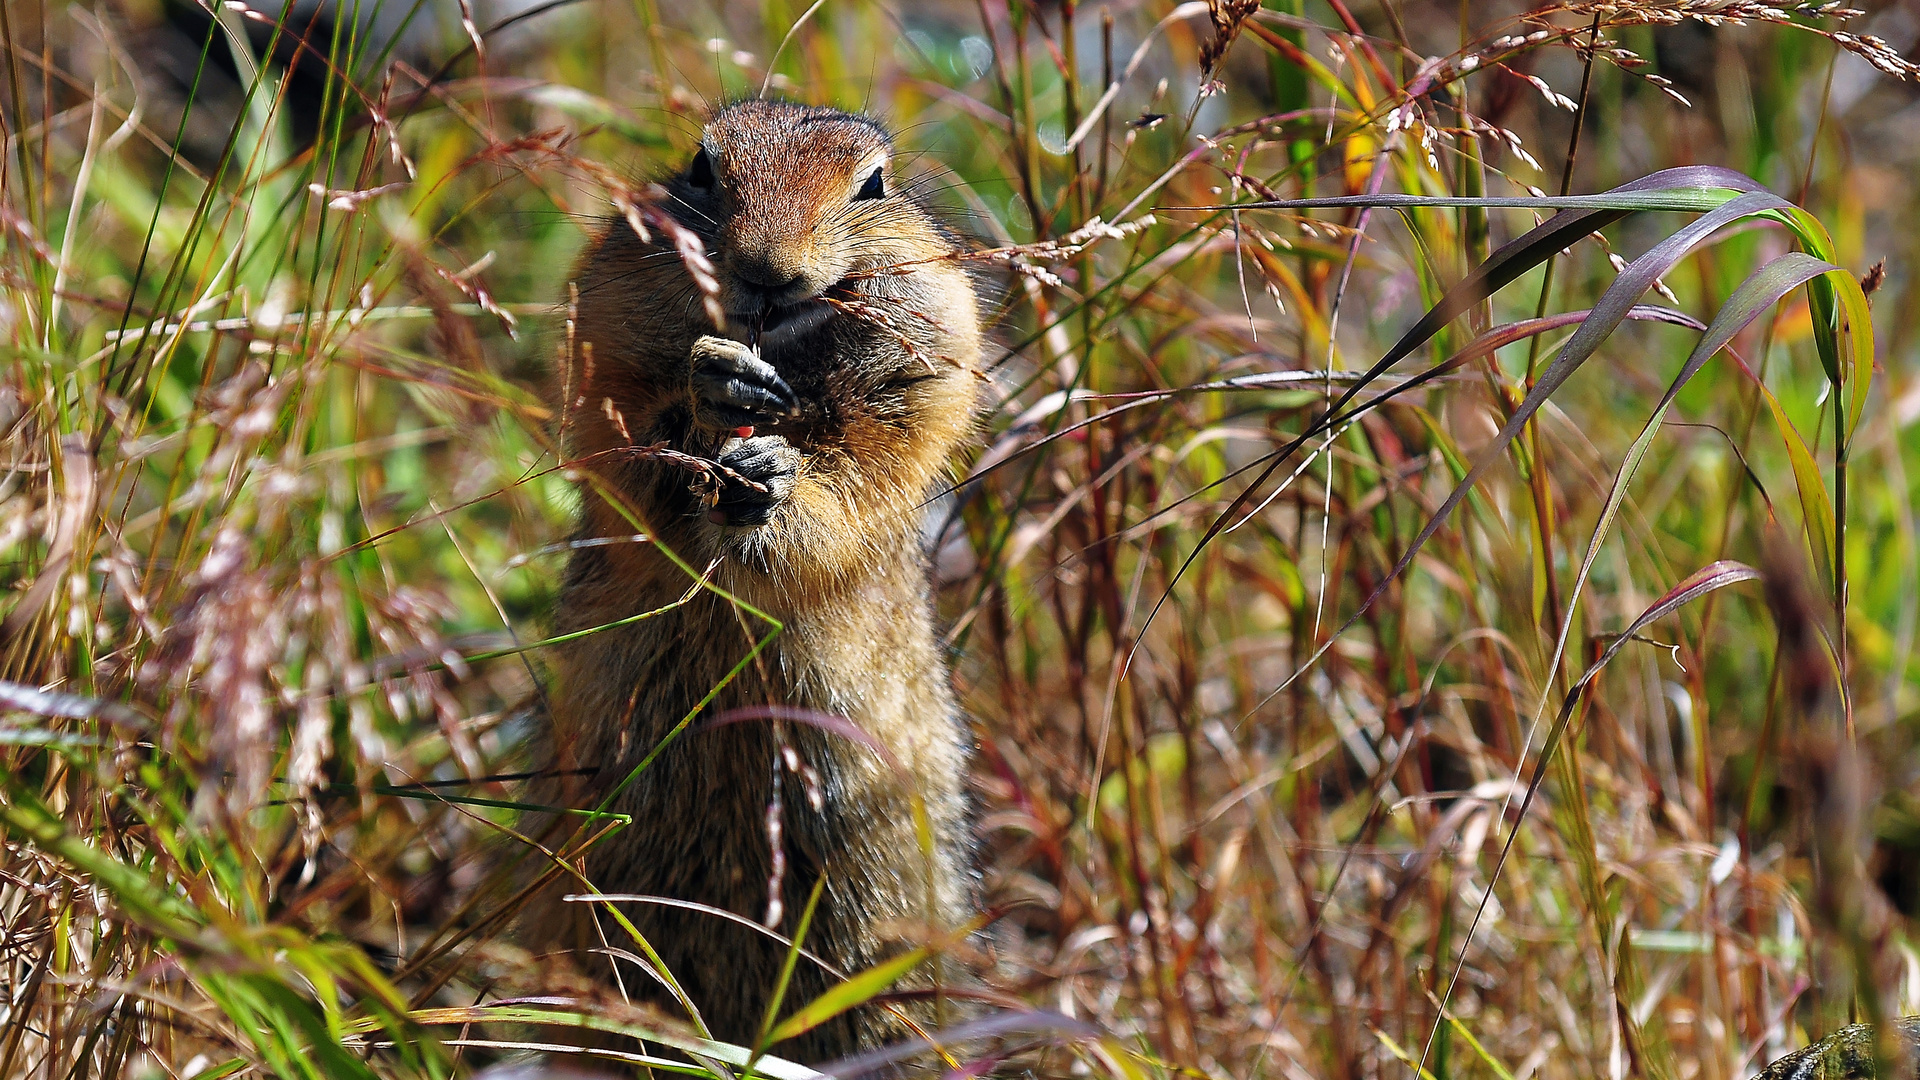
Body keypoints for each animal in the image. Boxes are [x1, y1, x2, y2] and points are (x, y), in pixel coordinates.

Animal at [537, 98, 990, 1060]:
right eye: (701, 168)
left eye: (873, 183)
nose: (767, 270)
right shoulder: (605, 331)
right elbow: (621, 435)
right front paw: (715, 381)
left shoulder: (925, 370)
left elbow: (862, 474)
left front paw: (773, 480)